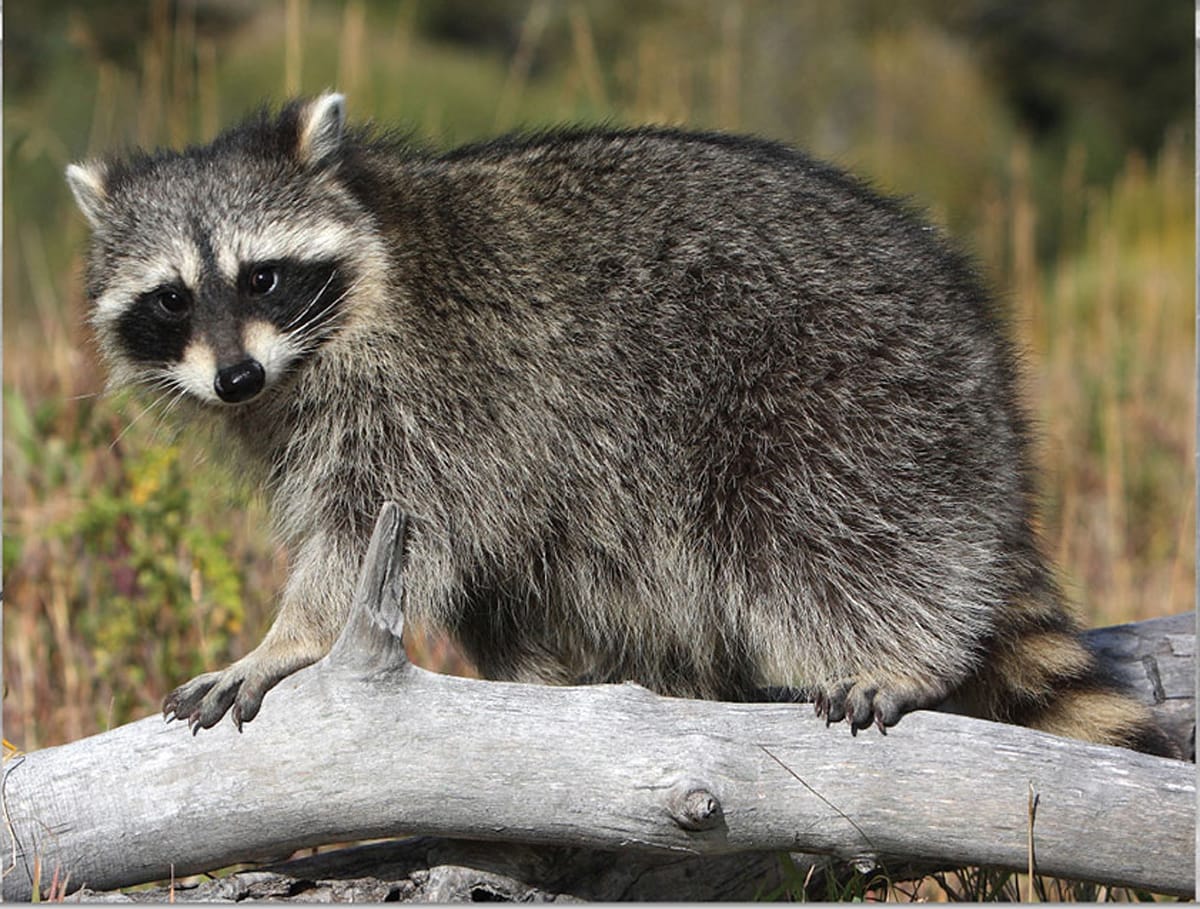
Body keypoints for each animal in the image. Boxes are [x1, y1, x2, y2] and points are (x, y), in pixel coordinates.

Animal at [66, 93, 1176, 757]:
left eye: (262, 277)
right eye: (172, 298)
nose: (235, 376)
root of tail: (978, 352)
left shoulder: (435, 393)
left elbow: (374, 531)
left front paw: (288, 637)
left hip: (848, 390)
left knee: (822, 532)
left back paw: (902, 652)